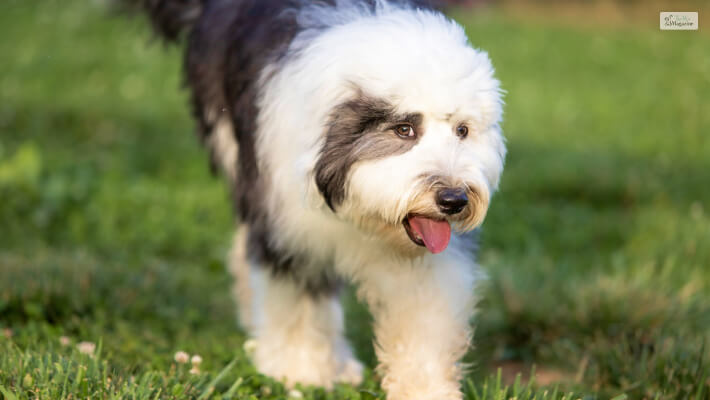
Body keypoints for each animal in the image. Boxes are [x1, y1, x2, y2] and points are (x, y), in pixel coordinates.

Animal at [142, 1, 506, 398]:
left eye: (462, 130)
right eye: (404, 129)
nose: (453, 200)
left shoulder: (427, 265)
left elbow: (423, 321)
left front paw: (425, 388)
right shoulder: (290, 230)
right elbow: (297, 301)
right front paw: (302, 372)